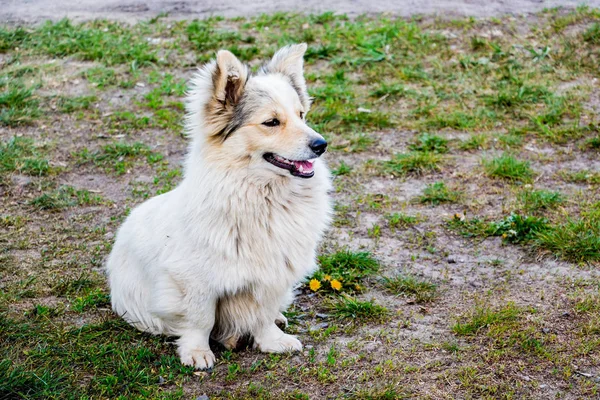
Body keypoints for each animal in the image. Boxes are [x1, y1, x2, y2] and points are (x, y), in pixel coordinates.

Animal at [108, 43, 332, 368]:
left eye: (301, 115)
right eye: (271, 122)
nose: (321, 145)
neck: (261, 197)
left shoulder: (273, 276)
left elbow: (263, 314)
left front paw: (272, 341)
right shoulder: (193, 282)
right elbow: (200, 320)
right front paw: (197, 352)